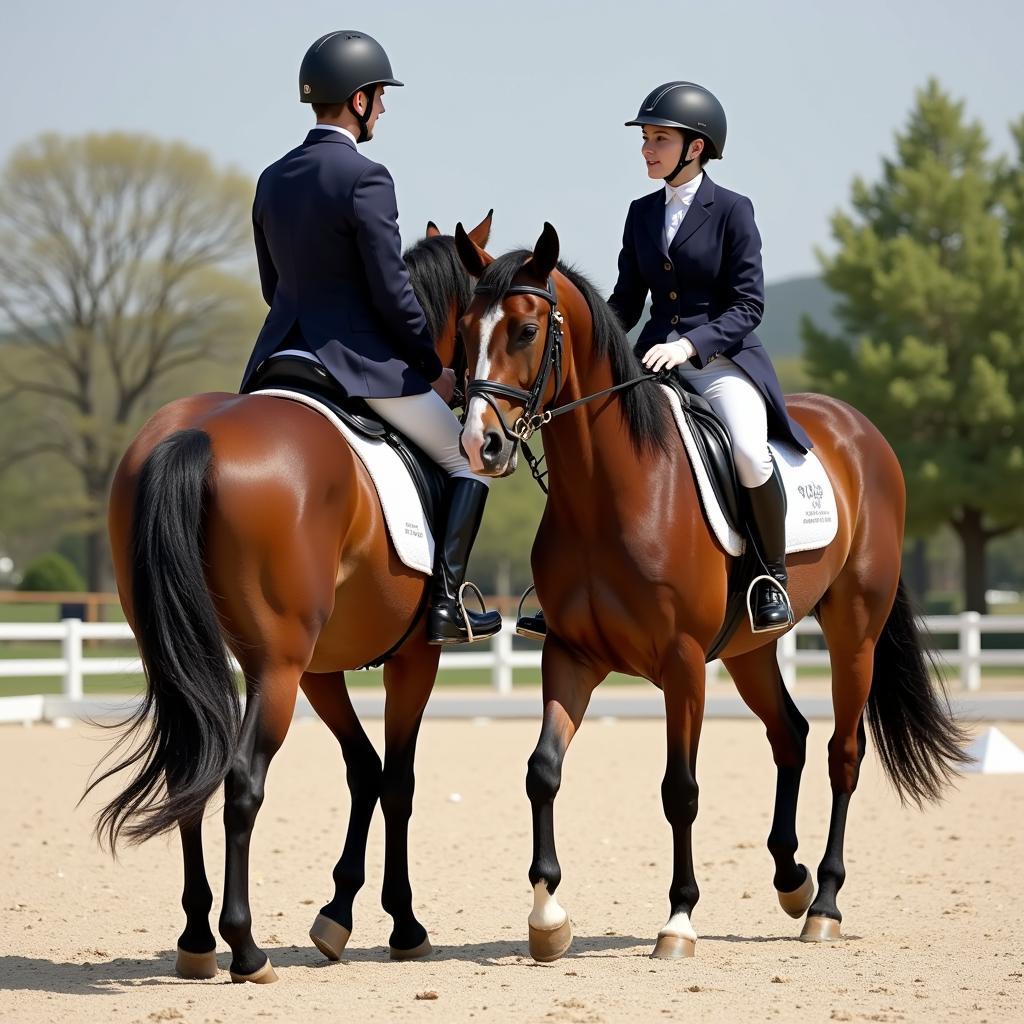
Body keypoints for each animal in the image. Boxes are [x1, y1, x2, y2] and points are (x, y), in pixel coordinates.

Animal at [86, 209, 493, 983]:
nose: (484, 434)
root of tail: (195, 433)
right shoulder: (411, 659)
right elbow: (398, 780)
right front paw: (404, 924)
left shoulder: (320, 668)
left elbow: (364, 770)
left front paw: (338, 916)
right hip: (273, 667)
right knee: (242, 777)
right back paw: (245, 948)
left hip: (196, 652)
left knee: (191, 766)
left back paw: (196, 940)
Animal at [456, 222, 966, 958]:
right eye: (464, 330)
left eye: (525, 331)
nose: (481, 445)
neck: (606, 491)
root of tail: (858, 426)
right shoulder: (571, 654)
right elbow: (542, 769)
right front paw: (548, 918)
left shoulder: (683, 662)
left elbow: (681, 790)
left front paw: (678, 919)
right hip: (752, 648)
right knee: (790, 734)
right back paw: (792, 880)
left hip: (854, 632)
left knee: (842, 754)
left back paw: (825, 905)